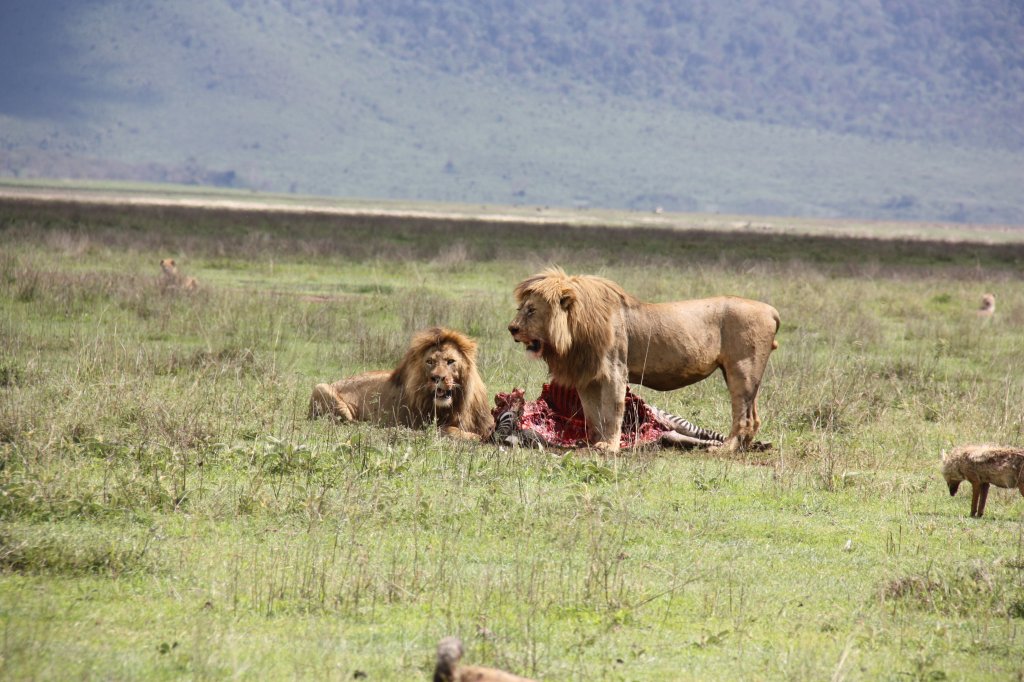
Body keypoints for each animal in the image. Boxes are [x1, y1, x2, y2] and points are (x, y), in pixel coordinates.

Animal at [308, 327, 493, 440]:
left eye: (450, 361)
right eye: (429, 362)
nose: (437, 378)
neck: (457, 403)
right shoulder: (424, 425)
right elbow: (452, 430)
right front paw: (475, 437)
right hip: (321, 388)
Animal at [508, 267, 779, 452]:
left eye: (531, 310)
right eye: (520, 309)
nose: (511, 328)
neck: (575, 331)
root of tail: (771, 310)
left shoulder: (615, 371)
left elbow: (612, 410)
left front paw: (609, 446)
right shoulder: (587, 376)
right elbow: (593, 414)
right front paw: (593, 442)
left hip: (742, 370)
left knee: (743, 415)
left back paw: (725, 449)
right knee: (753, 416)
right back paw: (743, 447)